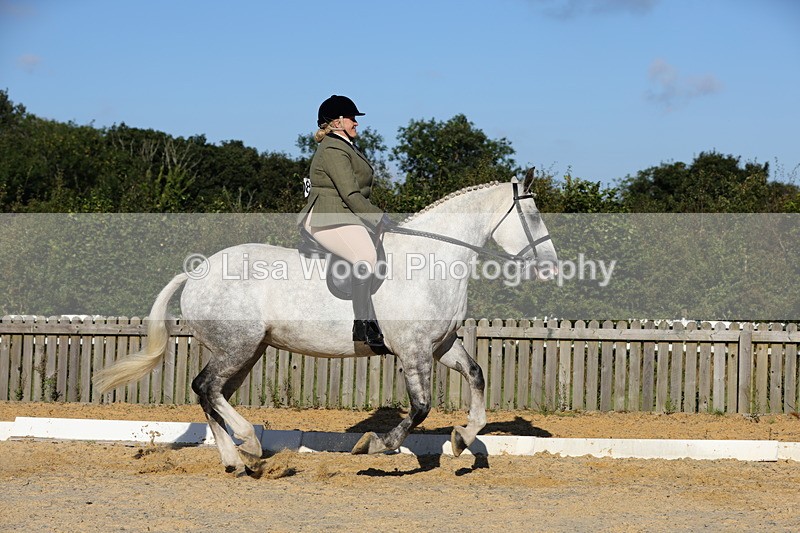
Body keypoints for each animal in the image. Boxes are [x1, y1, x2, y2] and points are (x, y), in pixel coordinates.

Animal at [94, 174, 558, 475]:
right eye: (533, 216)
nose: (552, 267)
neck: (432, 262)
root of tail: (195, 272)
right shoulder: (413, 350)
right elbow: (421, 407)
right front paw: (376, 445)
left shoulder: (440, 346)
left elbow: (477, 376)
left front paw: (463, 439)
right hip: (236, 346)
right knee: (206, 388)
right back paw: (250, 443)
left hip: (247, 350)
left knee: (211, 394)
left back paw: (237, 459)